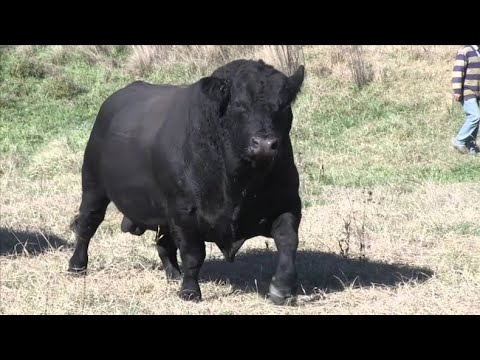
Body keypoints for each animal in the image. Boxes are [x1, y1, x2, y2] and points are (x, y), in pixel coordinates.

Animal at [68, 58, 304, 304]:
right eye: (240, 105)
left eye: (283, 105)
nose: (265, 144)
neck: (238, 182)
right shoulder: (184, 212)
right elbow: (193, 254)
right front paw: (190, 291)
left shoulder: (287, 203)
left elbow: (288, 240)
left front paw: (283, 288)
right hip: (93, 186)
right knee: (86, 224)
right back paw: (77, 265)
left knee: (163, 243)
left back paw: (173, 274)